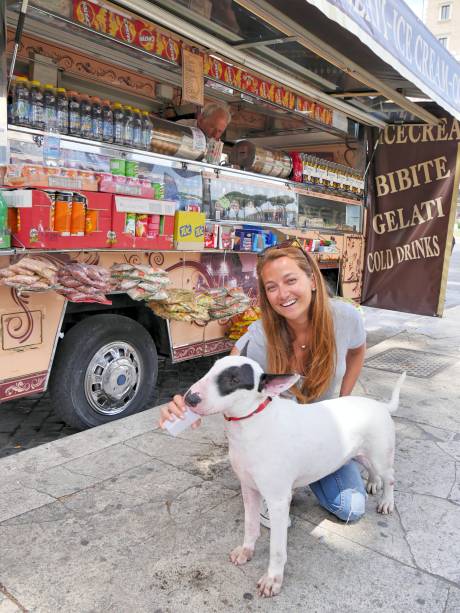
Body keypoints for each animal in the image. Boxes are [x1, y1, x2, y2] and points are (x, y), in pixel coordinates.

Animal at [185, 356, 404, 596]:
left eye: (234, 379)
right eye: (211, 368)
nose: (189, 398)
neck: (252, 423)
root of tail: (380, 405)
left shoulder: (278, 501)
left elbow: (277, 549)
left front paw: (272, 579)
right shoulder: (249, 489)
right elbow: (250, 525)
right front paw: (246, 551)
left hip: (380, 455)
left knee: (390, 476)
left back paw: (386, 501)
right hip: (361, 453)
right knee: (372, 468)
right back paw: (373, 483)